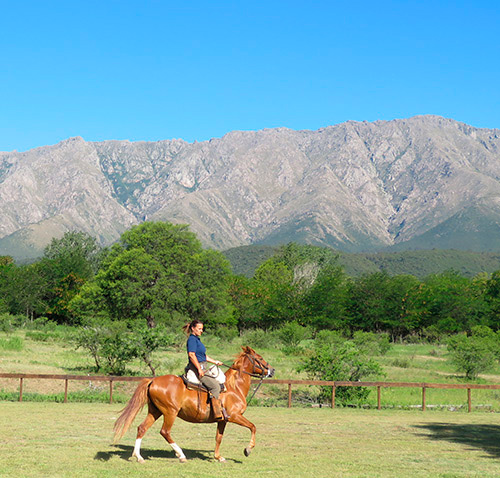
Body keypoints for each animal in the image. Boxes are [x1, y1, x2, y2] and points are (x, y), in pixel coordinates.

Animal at [113, 348, 274, 464]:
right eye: (260, 358)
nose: (272, 370)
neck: (234, 387)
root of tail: (153, 380)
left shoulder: (223, 420)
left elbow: (218, 438)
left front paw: (218, 457)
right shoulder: (234, 416)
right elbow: (253, 427)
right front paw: (248, 449)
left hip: (155, 411)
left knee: (142, 428)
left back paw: (139, 457)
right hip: (170, 412)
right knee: (165, 432)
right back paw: (181, 455)